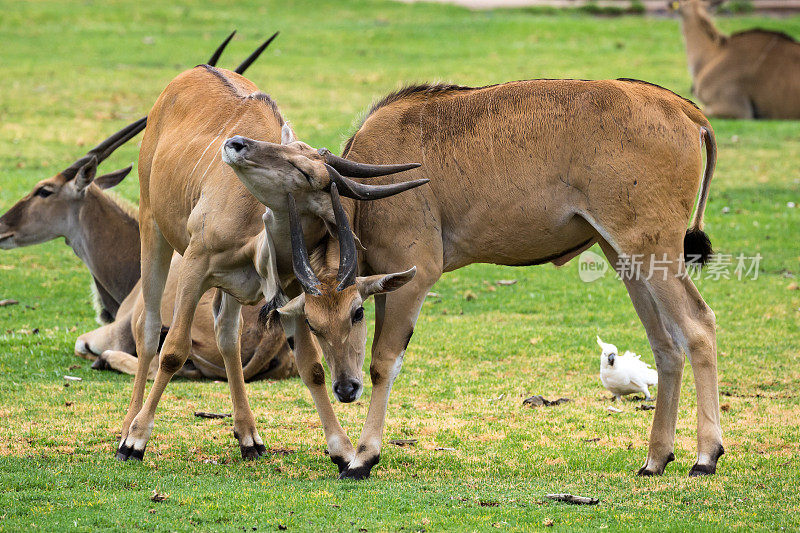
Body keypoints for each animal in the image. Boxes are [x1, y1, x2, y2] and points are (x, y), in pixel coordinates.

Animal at [113, 62, 428, 460]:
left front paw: (341, 450)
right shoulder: (195, 267)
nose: (235, 143)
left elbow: (311, 367)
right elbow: (172, 352)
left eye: (305, 171)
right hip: (152, 226)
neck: (254, 229)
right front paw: (136, 440)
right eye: (283, 148)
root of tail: (191, 72)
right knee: (150, 327)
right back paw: (127, 427)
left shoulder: (291, 291)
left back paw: (248, 435)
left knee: (226, 335)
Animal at [223, 77, 724, 480]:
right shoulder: (387, 283)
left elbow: (384, 362)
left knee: (698, 324)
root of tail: (685, 111)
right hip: (624, 256)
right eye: (313, 322)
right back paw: (656, 459)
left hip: (651, 250)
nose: (236, 144)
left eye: (356, 314)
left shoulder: (414, 279)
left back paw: (705, 456)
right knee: (665, 344)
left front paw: (363, 458)